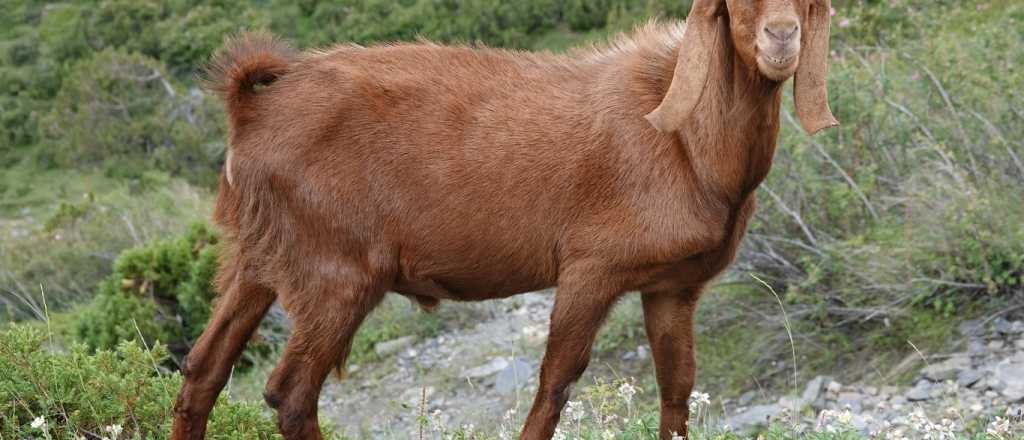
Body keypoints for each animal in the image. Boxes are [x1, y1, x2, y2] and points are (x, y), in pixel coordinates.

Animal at [171, 0, 837, 438]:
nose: (782, 38)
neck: (687, 143)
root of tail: (252, 111)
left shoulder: (673, 287)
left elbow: (677, 391)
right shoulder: (591, 267)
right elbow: (555, 384)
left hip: (257, 260)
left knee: (204, 370)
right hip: (336, 270)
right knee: (290, 394)